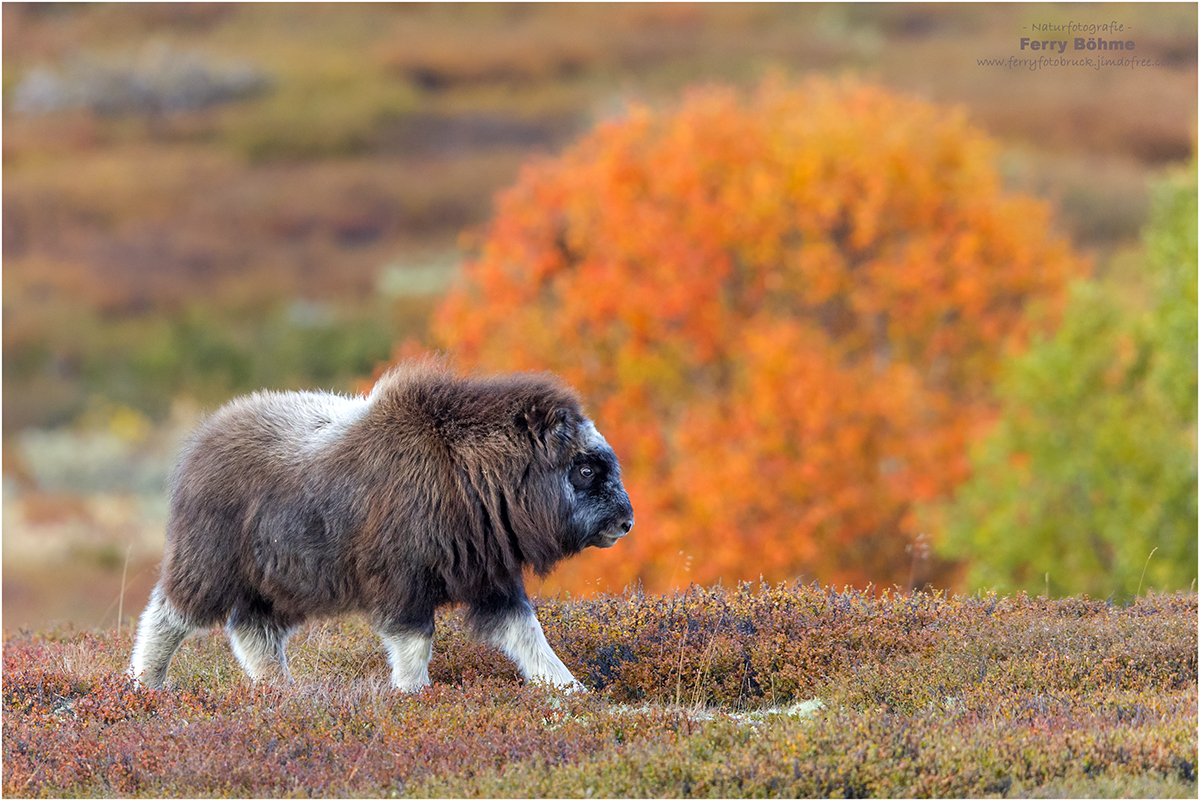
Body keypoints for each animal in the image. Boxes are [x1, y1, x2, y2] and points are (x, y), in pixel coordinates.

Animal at [129, 359, 638, 690]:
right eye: (585, 469)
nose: (626, 522)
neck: (467, 471)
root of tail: (203, 439)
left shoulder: (489, 578)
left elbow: (527, 633)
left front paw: (570, 691)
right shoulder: (403, 582)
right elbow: (415, 643)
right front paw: (414, 696)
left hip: (278, 585)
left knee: (253, 632)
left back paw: (282, 690)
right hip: (210, 564)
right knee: (168, 616)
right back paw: (144, 686)